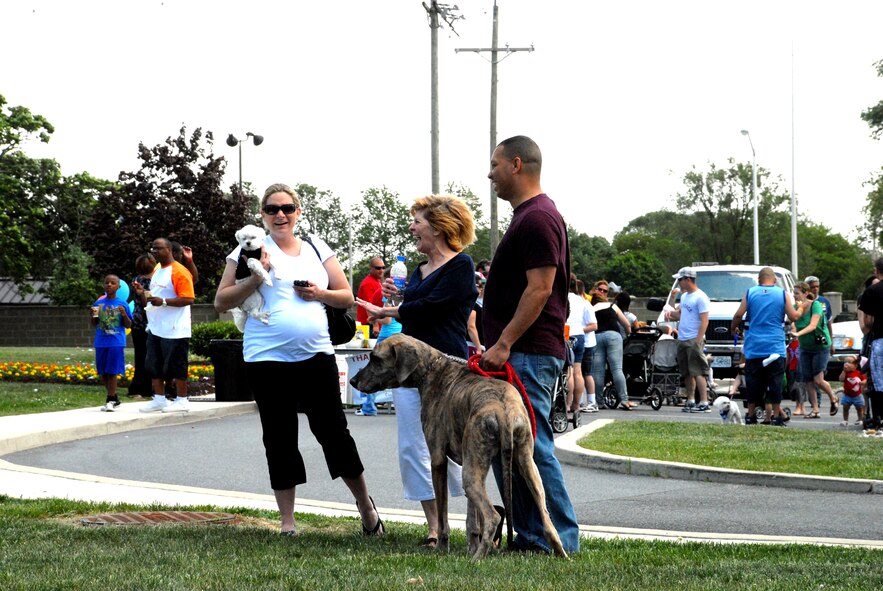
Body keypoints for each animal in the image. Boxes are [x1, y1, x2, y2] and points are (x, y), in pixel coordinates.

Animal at [352, 332, 568, 560]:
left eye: (375, 358)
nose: (352, 381)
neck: (432, 369)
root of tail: (503, 412)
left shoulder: (438, 461)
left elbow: (443, 516)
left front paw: (442, 548)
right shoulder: (470, 460)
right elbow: (472, 519)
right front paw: (470, 545)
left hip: (471, 477)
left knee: (492, 516)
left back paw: (477, 559)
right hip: (526, 466)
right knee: (547, 520)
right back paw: (562, 555)